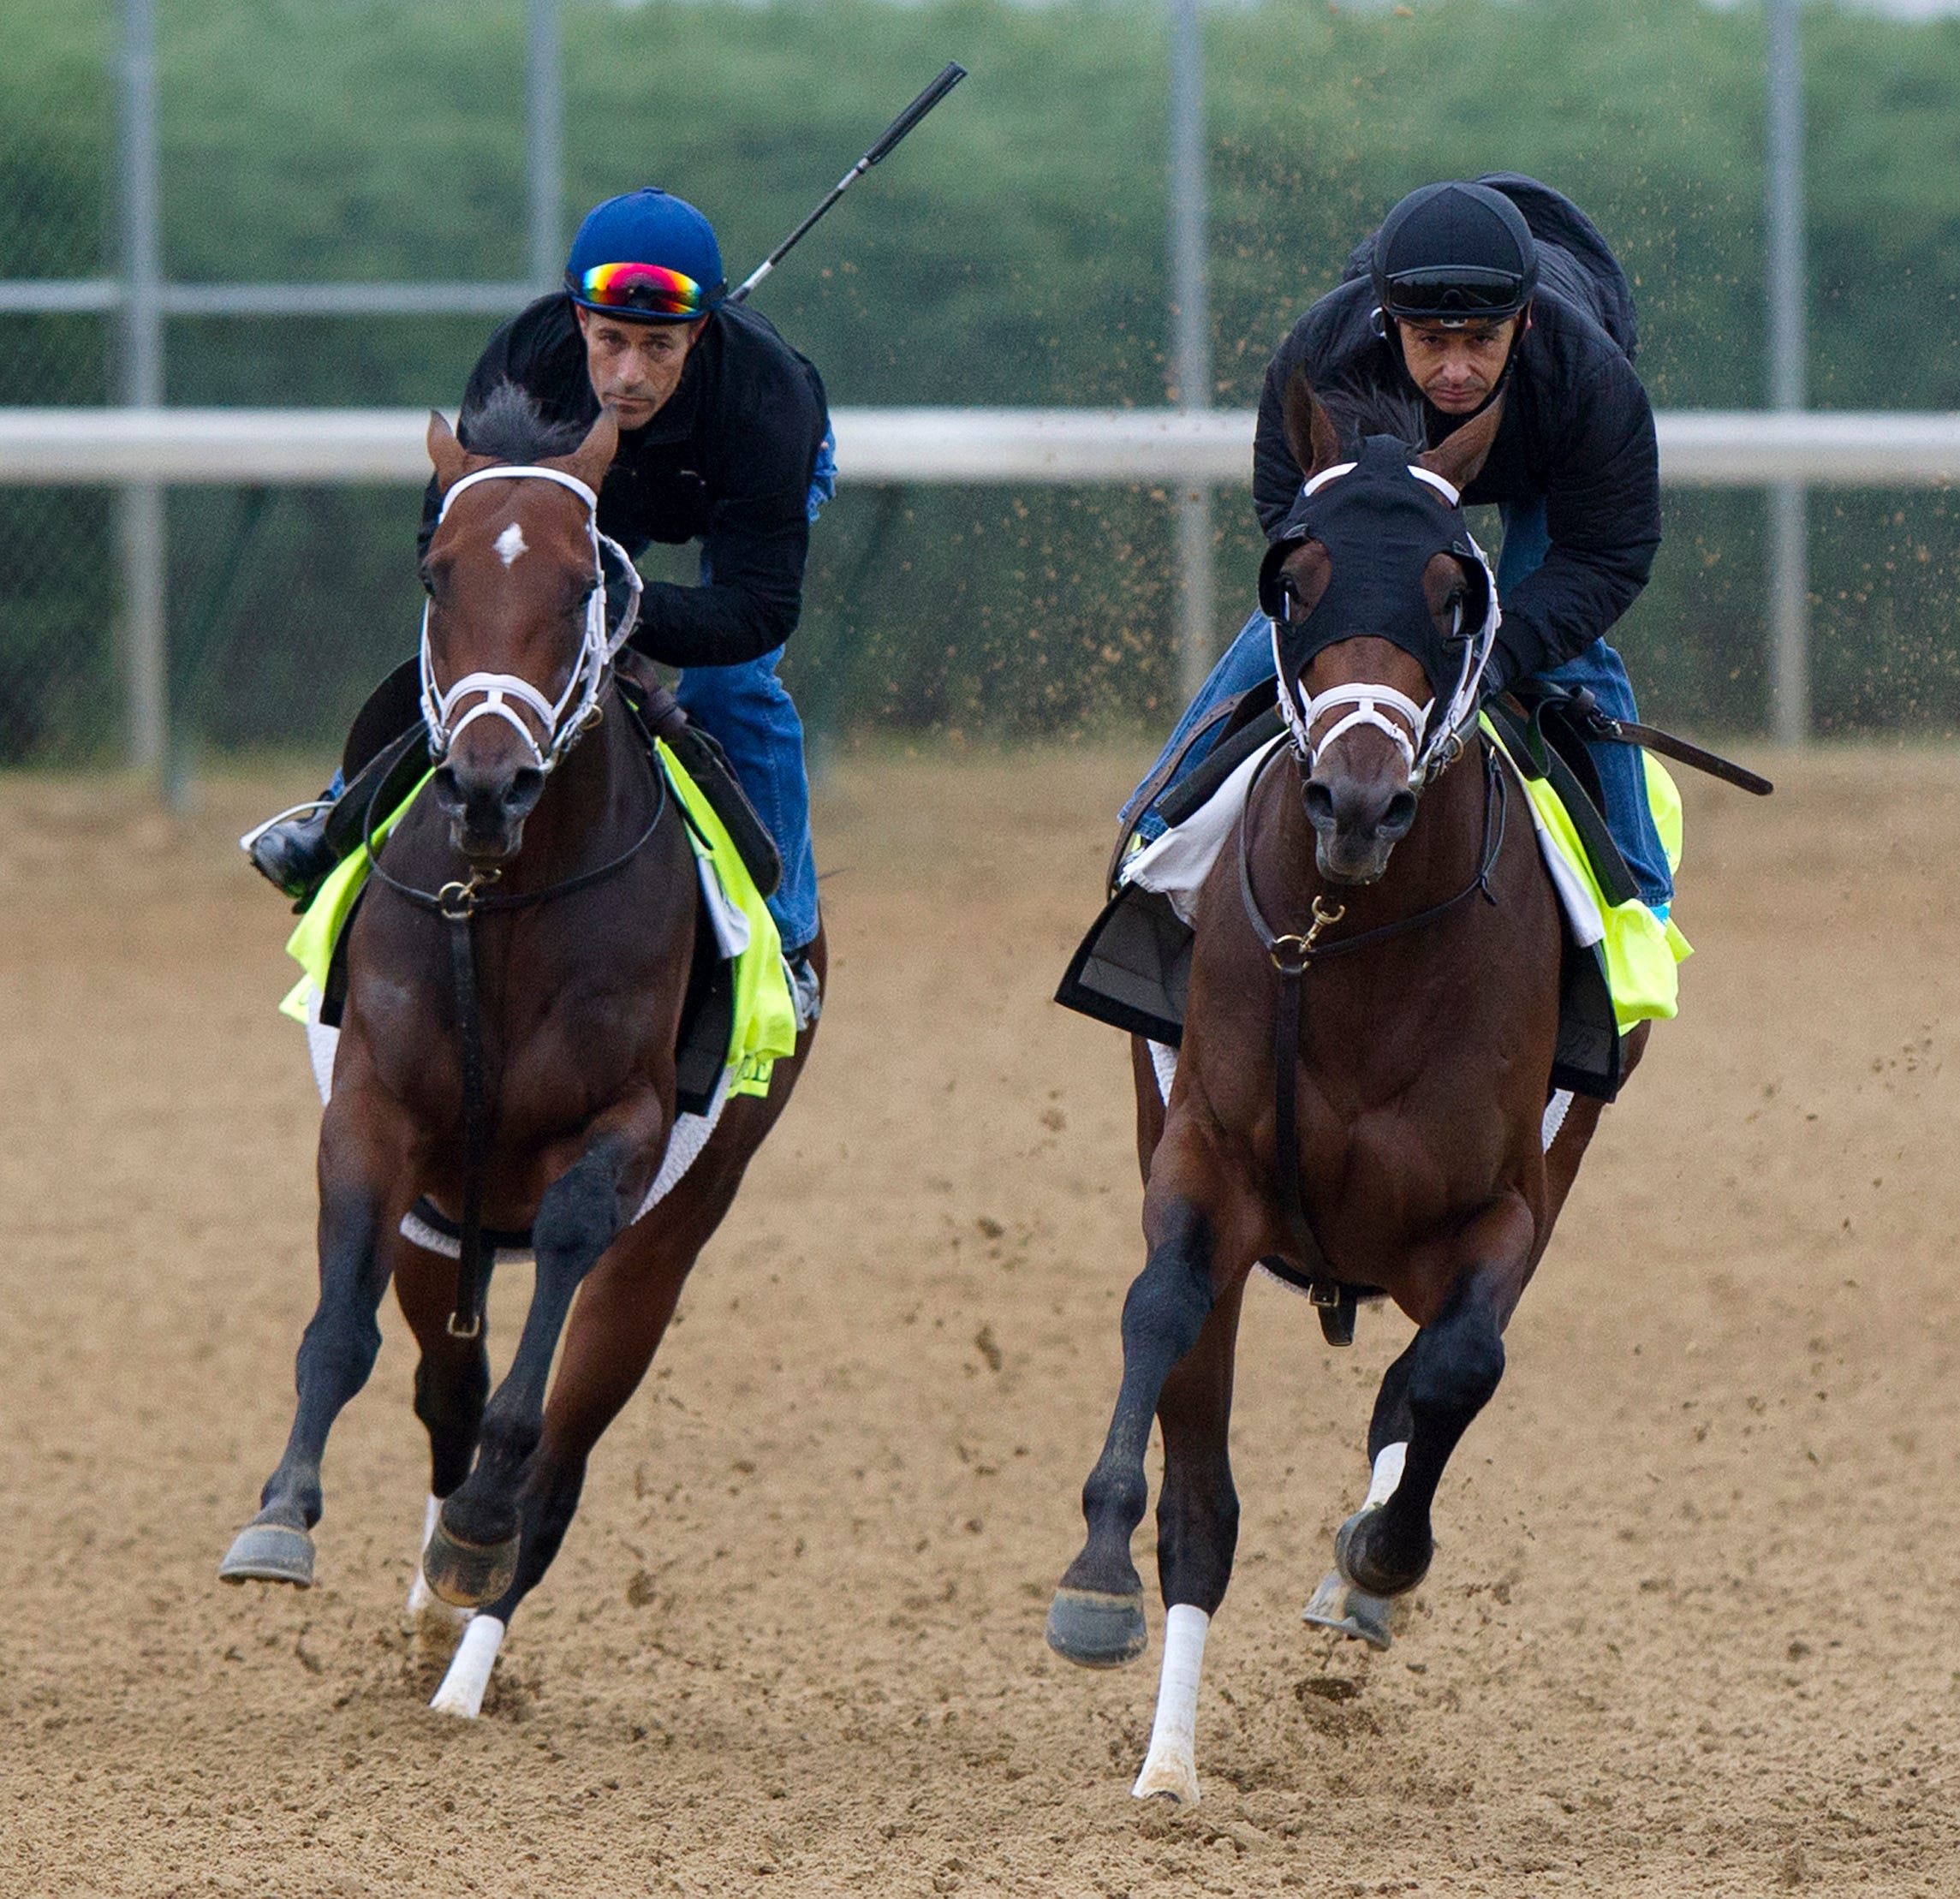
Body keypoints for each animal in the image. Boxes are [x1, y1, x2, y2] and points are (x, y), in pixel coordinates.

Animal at [218, 391, 823, 1708]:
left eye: (581, 581)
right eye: (435, 572)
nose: (489, 781)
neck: (502, 902)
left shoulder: (622, 1124)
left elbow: (547, 1330)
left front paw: (478, 1529)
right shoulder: (381, 1112)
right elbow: (341, 1333)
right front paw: (280, 1517)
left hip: (672, 1234)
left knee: (562, 1431)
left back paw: (467, 1636)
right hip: (441, 1223)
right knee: (443, 1382)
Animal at [1042, 374, 1638, 1810]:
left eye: (1451, 589)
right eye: (1295, 576)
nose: (1356, 798)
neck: (1353, 942)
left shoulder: (1502, 1203)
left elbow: (1457, 1367)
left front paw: (1381, 1556)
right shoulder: (1203, 1159)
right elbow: (1161, 1319)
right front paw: (1096, 1581)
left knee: (1425, 1379)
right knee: (1204, 1486)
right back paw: (1168, 1764)